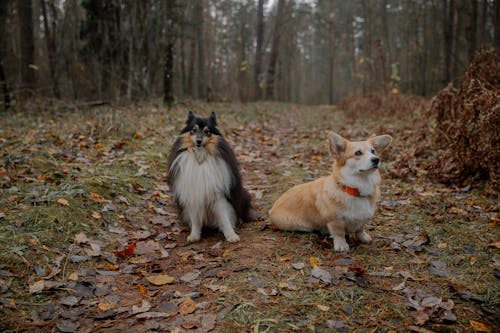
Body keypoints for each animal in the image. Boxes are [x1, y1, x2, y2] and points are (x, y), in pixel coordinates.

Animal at [167, 110, 254, 243]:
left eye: (207, 131)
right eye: (194, 130)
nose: (199, 141)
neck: (200, 156)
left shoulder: (218, 196)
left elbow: (224, 217)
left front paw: (231, 235)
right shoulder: (193, 195)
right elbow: (195, 219)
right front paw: (194, 236)